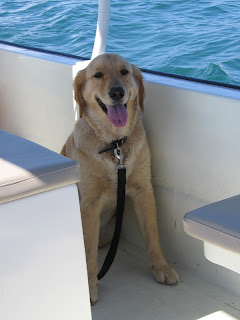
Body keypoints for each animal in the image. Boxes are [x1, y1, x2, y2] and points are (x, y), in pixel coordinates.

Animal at [62, 53, 178, 304]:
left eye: (124, 72)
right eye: (97, 74)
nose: (116, 92)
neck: (114, 145)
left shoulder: (143, 190)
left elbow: (152, 234)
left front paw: (161, 267)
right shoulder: (90, 203)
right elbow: (88, 251)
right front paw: (89, 286)